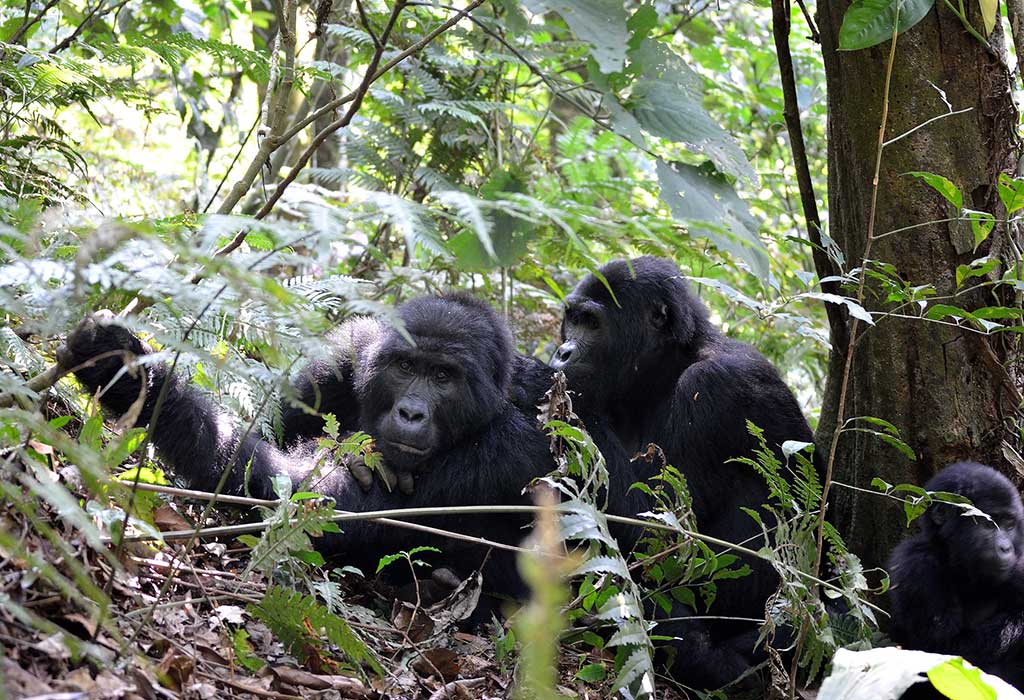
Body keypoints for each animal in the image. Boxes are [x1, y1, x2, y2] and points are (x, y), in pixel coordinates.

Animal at [552, 255, 823, 687]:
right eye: (572, 319)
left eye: (592, 323)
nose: (562, 351)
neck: (665, 368)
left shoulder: (716, 384)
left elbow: (665, 537)